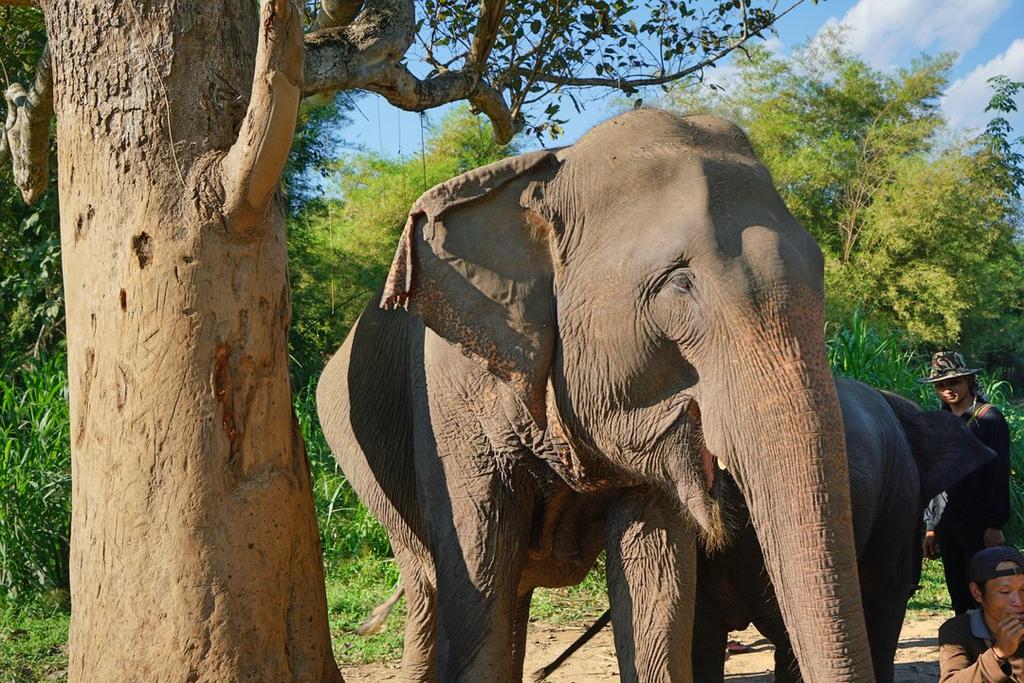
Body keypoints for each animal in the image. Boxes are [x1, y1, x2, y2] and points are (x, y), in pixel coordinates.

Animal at [316, 109, 874, 681]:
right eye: (682, 285)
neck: (549, 174)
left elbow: (658, 588)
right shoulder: (448, 399)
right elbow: (478, 578)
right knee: (430, 588)